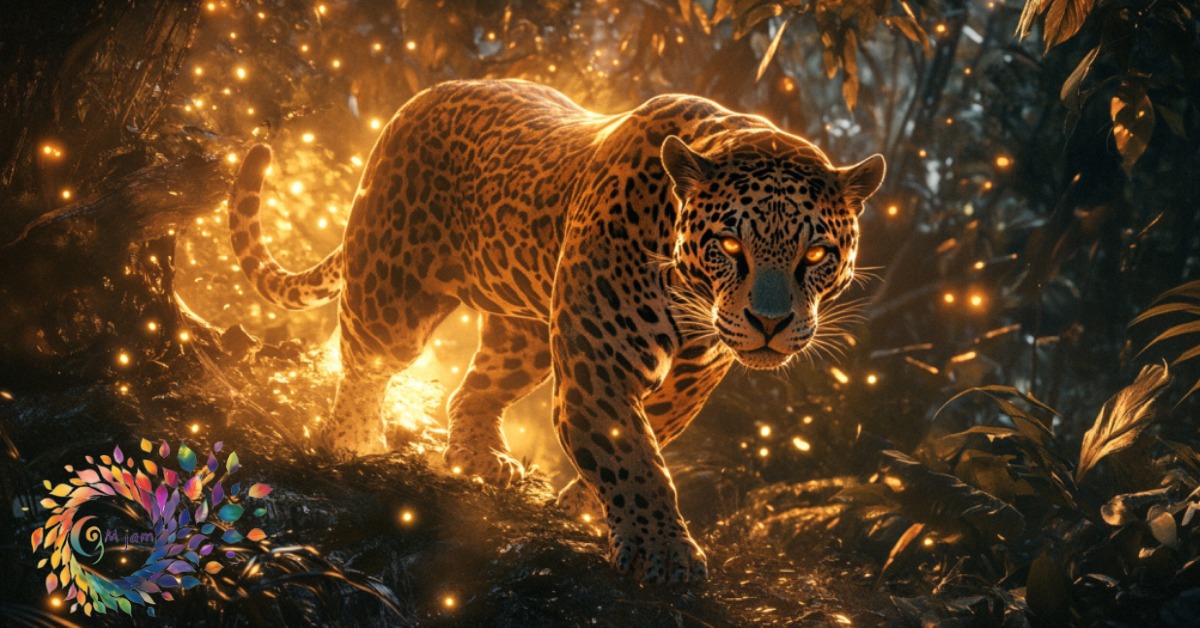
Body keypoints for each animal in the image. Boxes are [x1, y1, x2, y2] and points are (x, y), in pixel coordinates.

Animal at [227, 79, 884, 584]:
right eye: (729, 247)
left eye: (816, 254)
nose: (770, 324)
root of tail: (417, 99)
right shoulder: (599, 364)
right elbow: (634, 457)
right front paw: (663, 551)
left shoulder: (695, 378)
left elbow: (647, 441)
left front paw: (586, 509)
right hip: (391, 296)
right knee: (364, 366)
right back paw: (353, 442)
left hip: (522, 335)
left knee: (471, 391)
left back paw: (480, 458)